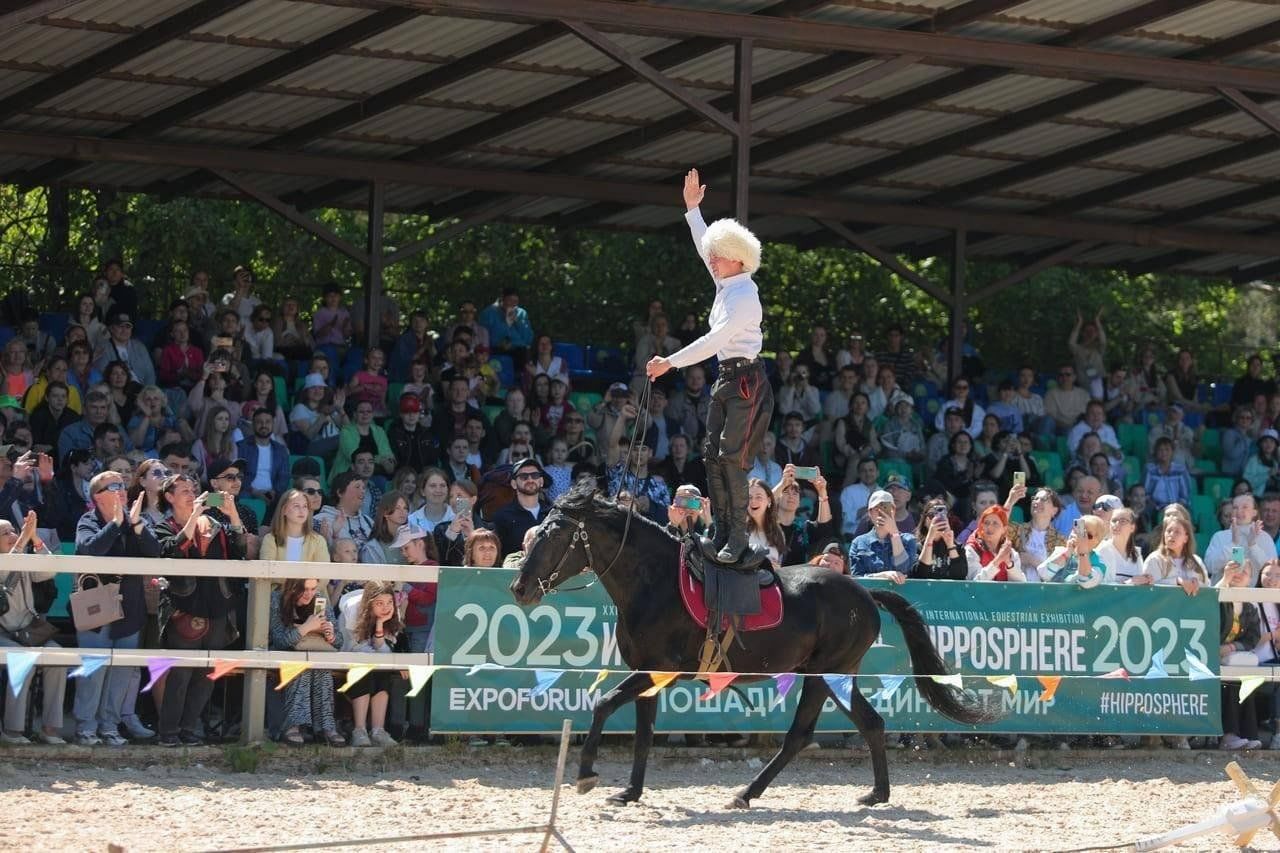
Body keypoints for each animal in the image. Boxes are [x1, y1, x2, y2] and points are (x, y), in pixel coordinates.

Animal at [512, 481, 998, 809]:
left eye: (555, 536)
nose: (520, 588)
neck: (657, 583)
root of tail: (862, 592)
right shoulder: (649, 675)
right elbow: (644, 732)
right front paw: (629, 791)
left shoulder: (655, 670)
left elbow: (603, 704)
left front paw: (586, 774)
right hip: (829, 675)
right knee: (862, 725)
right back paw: (869, 794)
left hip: (827, 674)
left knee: (814, 733)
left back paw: (751, 794)